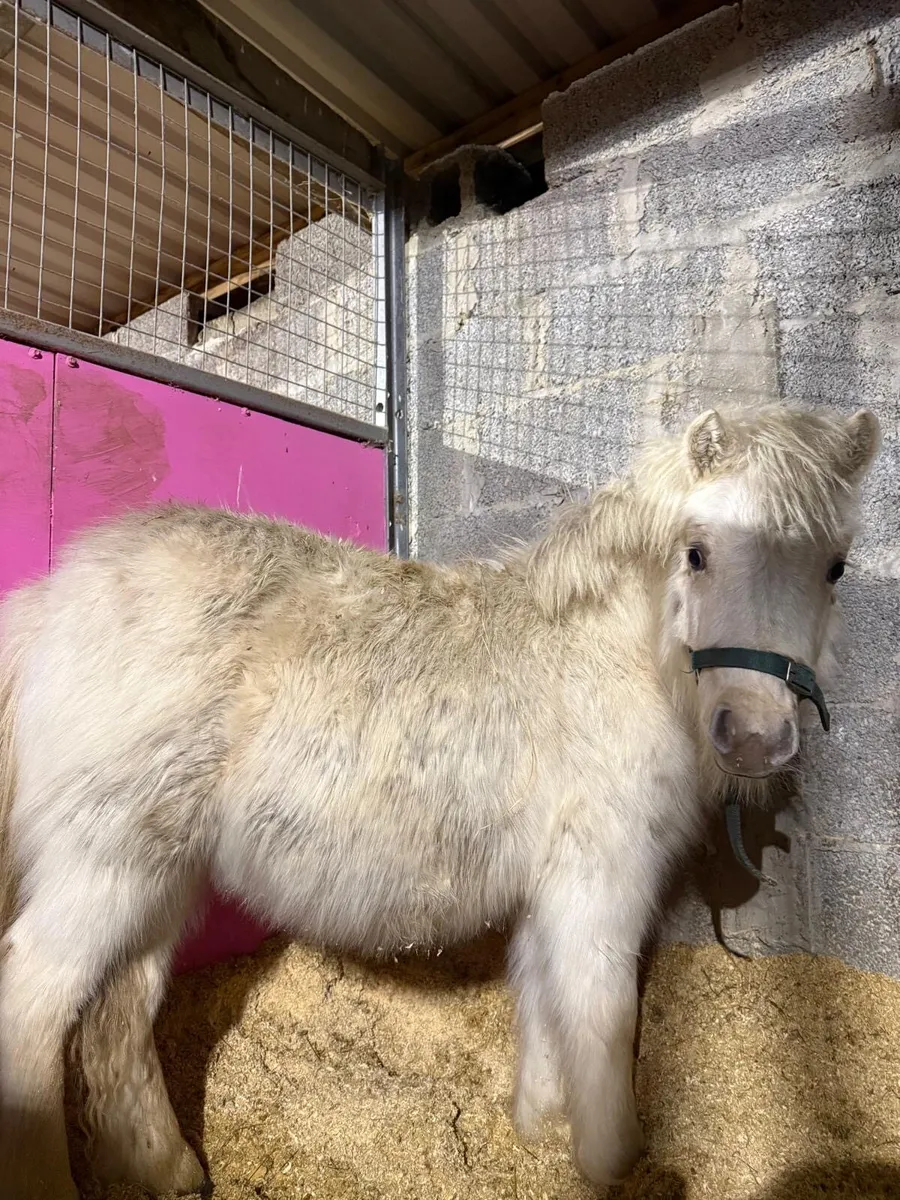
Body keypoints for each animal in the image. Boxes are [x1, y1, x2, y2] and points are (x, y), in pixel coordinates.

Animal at [0, 403, 880, 1198]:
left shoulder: (552, 891)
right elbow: (603, 1014)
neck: (611, 664)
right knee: (33, 1006)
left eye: (834, 567)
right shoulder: (600, 881)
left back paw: (169, 1171)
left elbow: (546, 1007)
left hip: (162, 876)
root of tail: (51, 603)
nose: (756, 736)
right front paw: (614, 1164)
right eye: (696, 553)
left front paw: (540, 1131)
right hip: (104, 864)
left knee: (118, 1016)